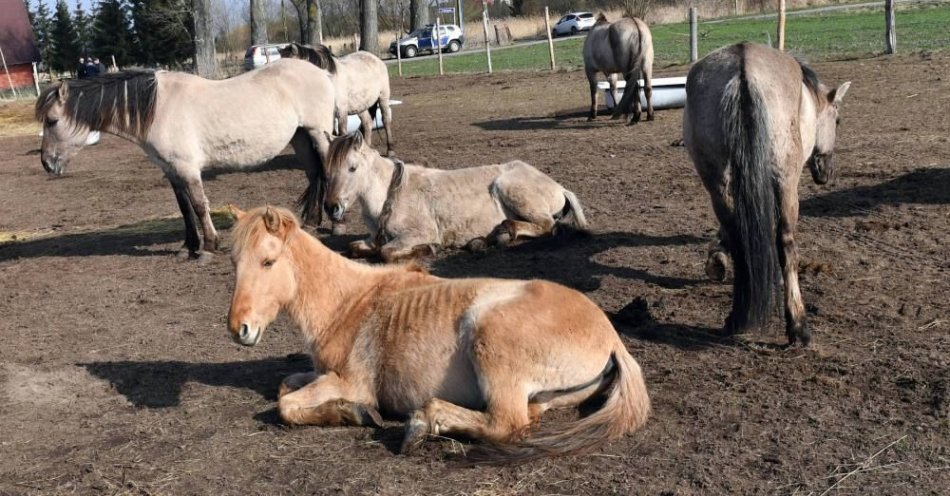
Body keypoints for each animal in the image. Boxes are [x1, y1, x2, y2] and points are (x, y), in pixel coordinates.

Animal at [34, 60, 338, 262]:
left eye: (52, 121)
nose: (47, 164)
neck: (159, 109)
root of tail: (321, 71)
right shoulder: (171, 170)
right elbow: (184, 208)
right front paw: (188, 247)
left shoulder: (187, 168)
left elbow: (200, 206)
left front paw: (209, 247)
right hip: (300, 137)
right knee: (314, 175)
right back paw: (311, 223)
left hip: (318, 134)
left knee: (327, 172)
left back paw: (333, 224)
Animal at [227, 203, 652, 464]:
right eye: (235, 262)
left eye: (268, 261)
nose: (238, 329)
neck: (350, 302)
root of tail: (612, 338)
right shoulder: (319, 373)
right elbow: (285, 386)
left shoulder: (350, 382)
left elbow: (286, 405)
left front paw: (356, 413)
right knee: (523, 417)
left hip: (489, 336)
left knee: (505, 423)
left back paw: (421, 423)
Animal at [322, 131, 588, 264]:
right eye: (327, 170)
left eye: (352, 168)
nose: (331, 207)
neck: (390, 195)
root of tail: (558, 187)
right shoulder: (372, 237)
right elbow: (356, 248)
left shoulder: (417, 234)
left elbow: (386, 252)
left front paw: (428, 250)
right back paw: (485, 240)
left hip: (509, 188)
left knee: (547, 225)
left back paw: (503, 233)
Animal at [684, 42, 856, 344]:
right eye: (838, 120)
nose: (827, 173)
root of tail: (744, 70)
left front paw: (717, 260)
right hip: (787, 185)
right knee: (786, 246)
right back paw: (798, 326)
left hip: (716, 182)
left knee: (738, 235)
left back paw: (737, 317)